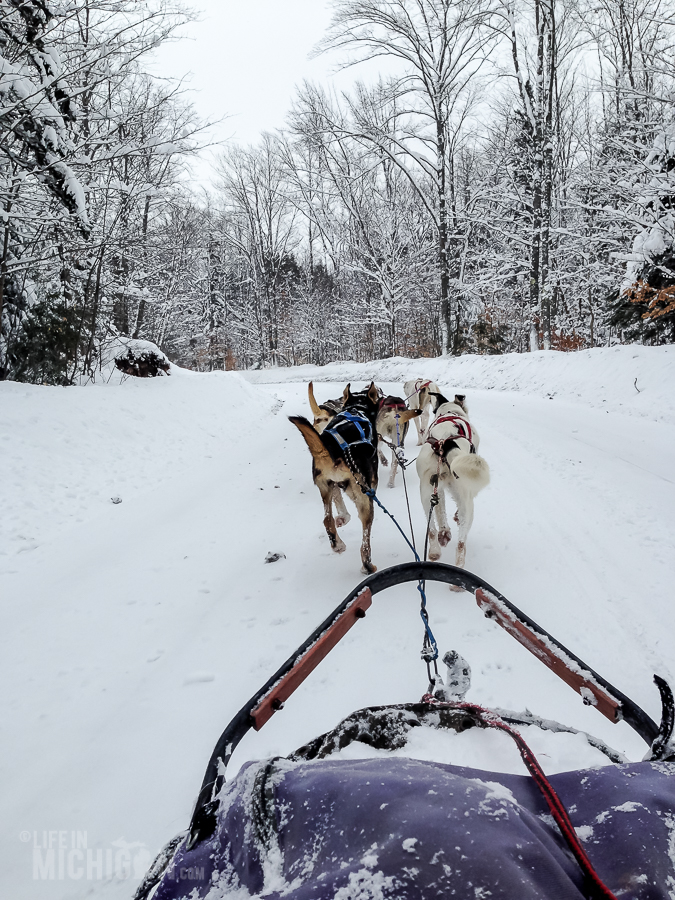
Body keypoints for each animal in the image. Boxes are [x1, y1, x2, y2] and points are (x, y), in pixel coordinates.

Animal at [290, 384, 382, 572]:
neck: (357, 408)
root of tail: (331, 447)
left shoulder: (333, 486)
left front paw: (342, 518)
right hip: (364, 497)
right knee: (365, 542)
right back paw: (368, 565)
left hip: (325, 487)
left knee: (327, 519)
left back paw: (337, 544)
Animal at [414, 392, 488, 568]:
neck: (450, 412)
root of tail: (444, 443)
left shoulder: (438, 488)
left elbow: (440, 512)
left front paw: (444, 531)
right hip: (467, 504)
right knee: (461, 542)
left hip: (426, 492)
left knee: (432, 529)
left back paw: (436, 548)